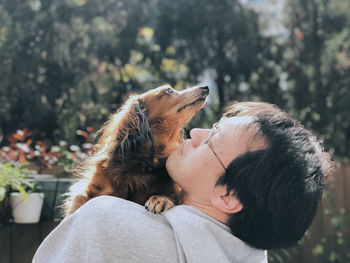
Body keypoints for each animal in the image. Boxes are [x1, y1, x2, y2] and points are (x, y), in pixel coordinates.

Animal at [63, 84, 208, 217]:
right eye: (169, 90)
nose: (205, 87)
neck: (144, 162)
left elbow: (169, 194)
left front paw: (160, 199)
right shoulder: (90, 190)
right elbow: (81, 200)